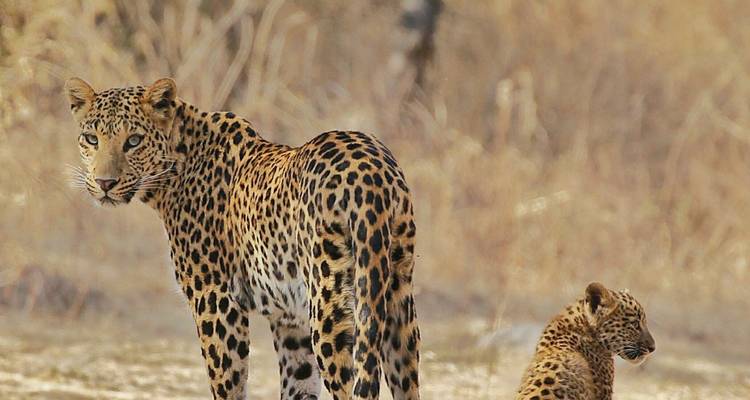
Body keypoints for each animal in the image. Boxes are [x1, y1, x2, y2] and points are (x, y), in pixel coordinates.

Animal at [64, 77, 421, 400]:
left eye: (134, 140)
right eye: (91, 139)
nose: (105, 183)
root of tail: (371, 172)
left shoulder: (215, 300)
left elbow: (227, 384)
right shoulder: (291, 320)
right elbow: (299, 385)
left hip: (331, 302)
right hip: (396, 297)